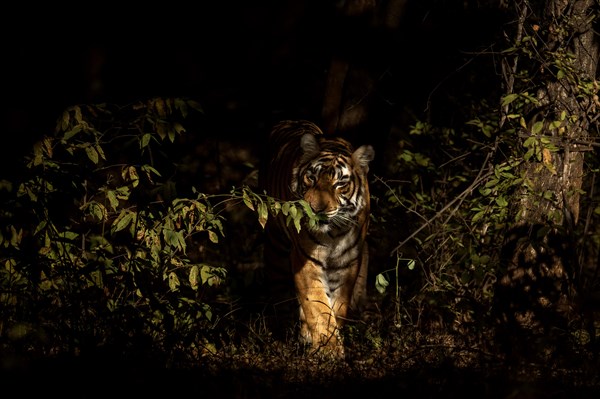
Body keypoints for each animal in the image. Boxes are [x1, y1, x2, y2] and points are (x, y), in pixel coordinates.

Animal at [258, 119, 372, 360]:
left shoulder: (347, 262)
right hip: (275, 244)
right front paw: (329, 349)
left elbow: (337, 306)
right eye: (311, 177)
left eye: (340, 184)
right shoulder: (306, 259)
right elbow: (318, 304)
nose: (314, 208)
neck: (335, 231)